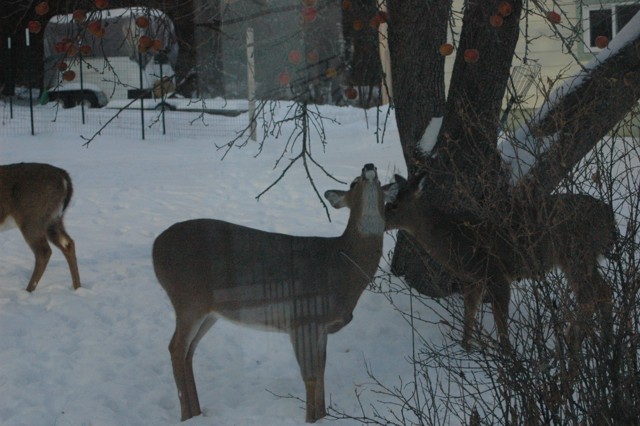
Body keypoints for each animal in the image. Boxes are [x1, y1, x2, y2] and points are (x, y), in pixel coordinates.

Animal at [0, 163, 81, 292]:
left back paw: (28, 290)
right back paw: (77, 287)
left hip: (32, 218)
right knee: (68, 243)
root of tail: (64, 178)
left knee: (44, 252)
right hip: (54, 219)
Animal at [152, 163, 395, 423]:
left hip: (209, 312)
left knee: (188, 351)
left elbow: (321, 372)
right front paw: (310, 420)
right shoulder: (302, 319)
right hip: (188, 300)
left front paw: (322, 416)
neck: (339, 266)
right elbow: (310, 376)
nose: (369, 166)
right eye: (353, 182)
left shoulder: (321, 327)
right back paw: (186, 415)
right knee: (176, 348)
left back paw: (197, 413)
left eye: (380, 183)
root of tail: (155, 248)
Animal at [384, 172, 616, 352]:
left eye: (393, 205)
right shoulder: (472, 279)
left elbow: (500, 321)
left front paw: (508, 356)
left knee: (591, 295)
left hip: (575, 254)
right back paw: (602, 341)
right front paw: (466, 349)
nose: (382, 221)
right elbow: (469, 313)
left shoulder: (495, 273)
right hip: (583, 257)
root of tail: (609, 218)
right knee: (604, 290)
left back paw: (573, 340)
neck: (455, 240)